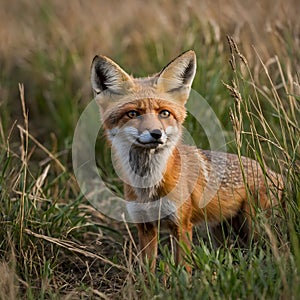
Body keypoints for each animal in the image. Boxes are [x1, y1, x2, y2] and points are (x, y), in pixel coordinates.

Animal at [90, 49, 282, 272]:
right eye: (133, 113)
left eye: (164, 113)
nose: (156, 134)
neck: (148, 186)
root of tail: (273, 173)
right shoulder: (145, 227)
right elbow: (147, 270)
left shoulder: (181, 225)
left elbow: (183, 269)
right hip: (221, 231)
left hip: (255, 228)